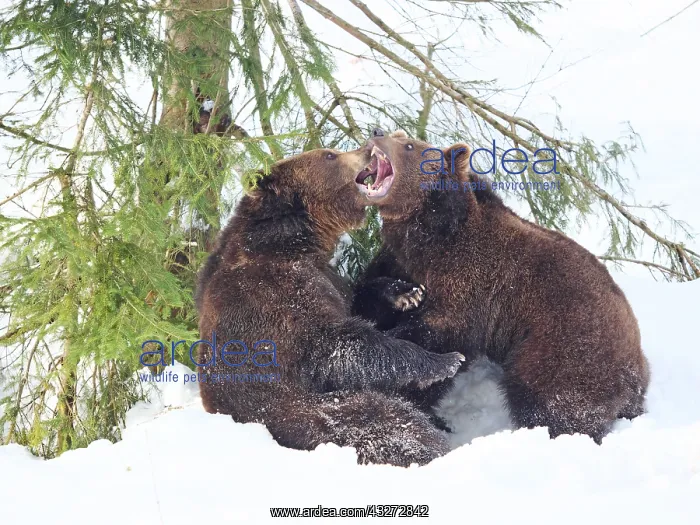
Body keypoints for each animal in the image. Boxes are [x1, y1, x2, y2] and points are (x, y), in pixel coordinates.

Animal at [195, 145, 465, 466]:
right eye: (329, 155)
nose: (368, 147)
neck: (295, 242)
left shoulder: (326, 277)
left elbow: (355, 300)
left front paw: (406, 293)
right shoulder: (276, 297)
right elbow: (338, 343)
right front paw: (445, 360)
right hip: (301, 413)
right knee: (387, 425)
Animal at [351, 128, 650, 444]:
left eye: (408, 144)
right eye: (396, 134)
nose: (377, 132)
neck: (428, 237)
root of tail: (636, 374)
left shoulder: (469, 283)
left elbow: (443, 334)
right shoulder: (397, 260)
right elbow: (365, 295)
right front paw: (402, 295)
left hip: (566, 346)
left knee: (550, 402)